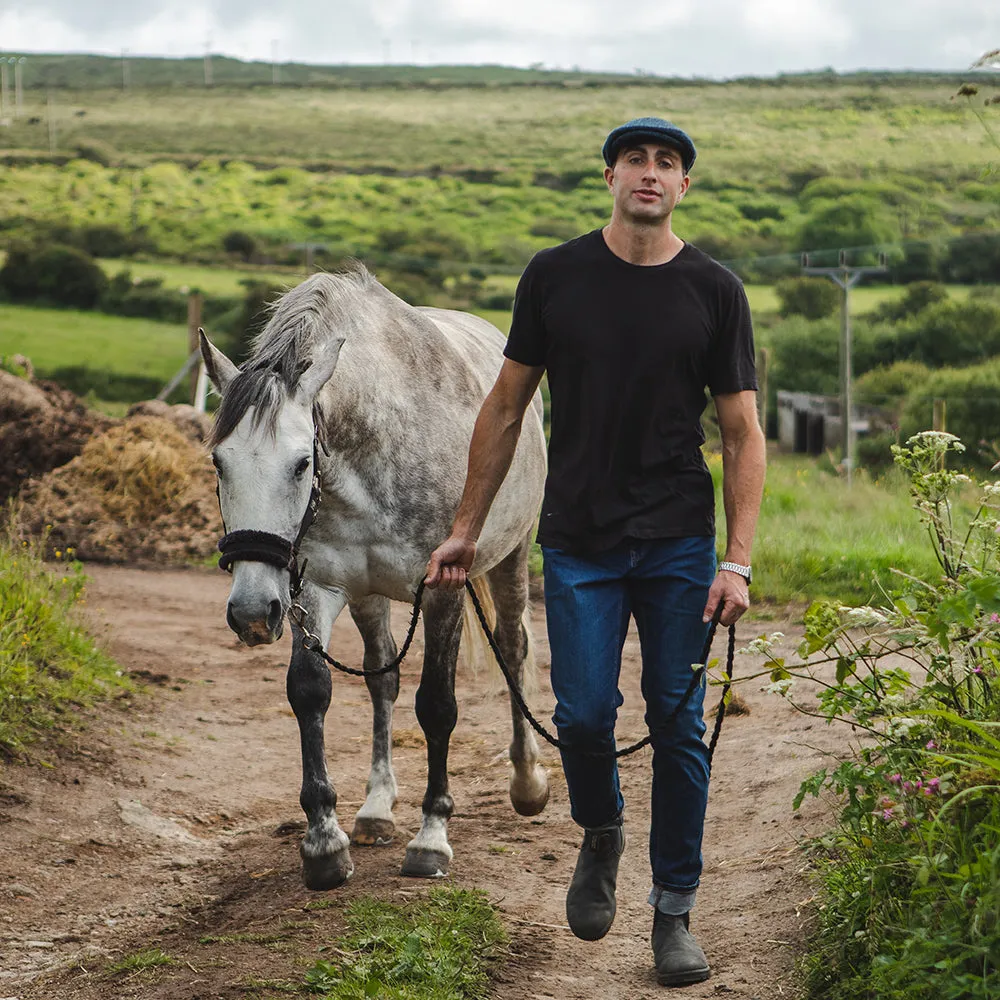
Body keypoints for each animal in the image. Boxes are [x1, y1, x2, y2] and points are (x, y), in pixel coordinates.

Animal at [199, 268, 552, 892]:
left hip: (510, 557)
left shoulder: (443, 590)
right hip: (366, 596)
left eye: (301, 463)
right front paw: (324, 843)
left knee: (513, 648)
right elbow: (310, 691)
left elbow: (438, 704)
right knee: (382, 677)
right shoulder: (313, 590)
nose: (251, 613)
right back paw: (375, 810)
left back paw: (527, 783)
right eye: (220, 462)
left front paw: (432, 838)